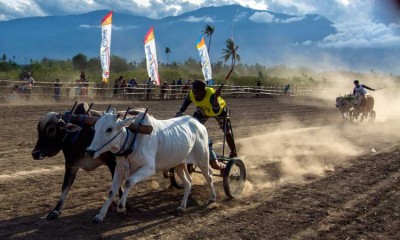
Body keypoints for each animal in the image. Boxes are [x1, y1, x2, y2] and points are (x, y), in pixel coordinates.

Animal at [85, 109, 216, 223]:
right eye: (96, 127)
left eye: (109, 129)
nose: (90, 151)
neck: (133, 141)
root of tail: (198, 124)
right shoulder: (120, 168)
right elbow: (112, 191)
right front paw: (100, 215)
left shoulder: (148, 168)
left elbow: (129, 182)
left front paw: (121, 206)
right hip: (179, 164)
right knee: (188, 182)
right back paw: (182, 206)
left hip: (203, 160)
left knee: (209, 176)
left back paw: (212, 198)